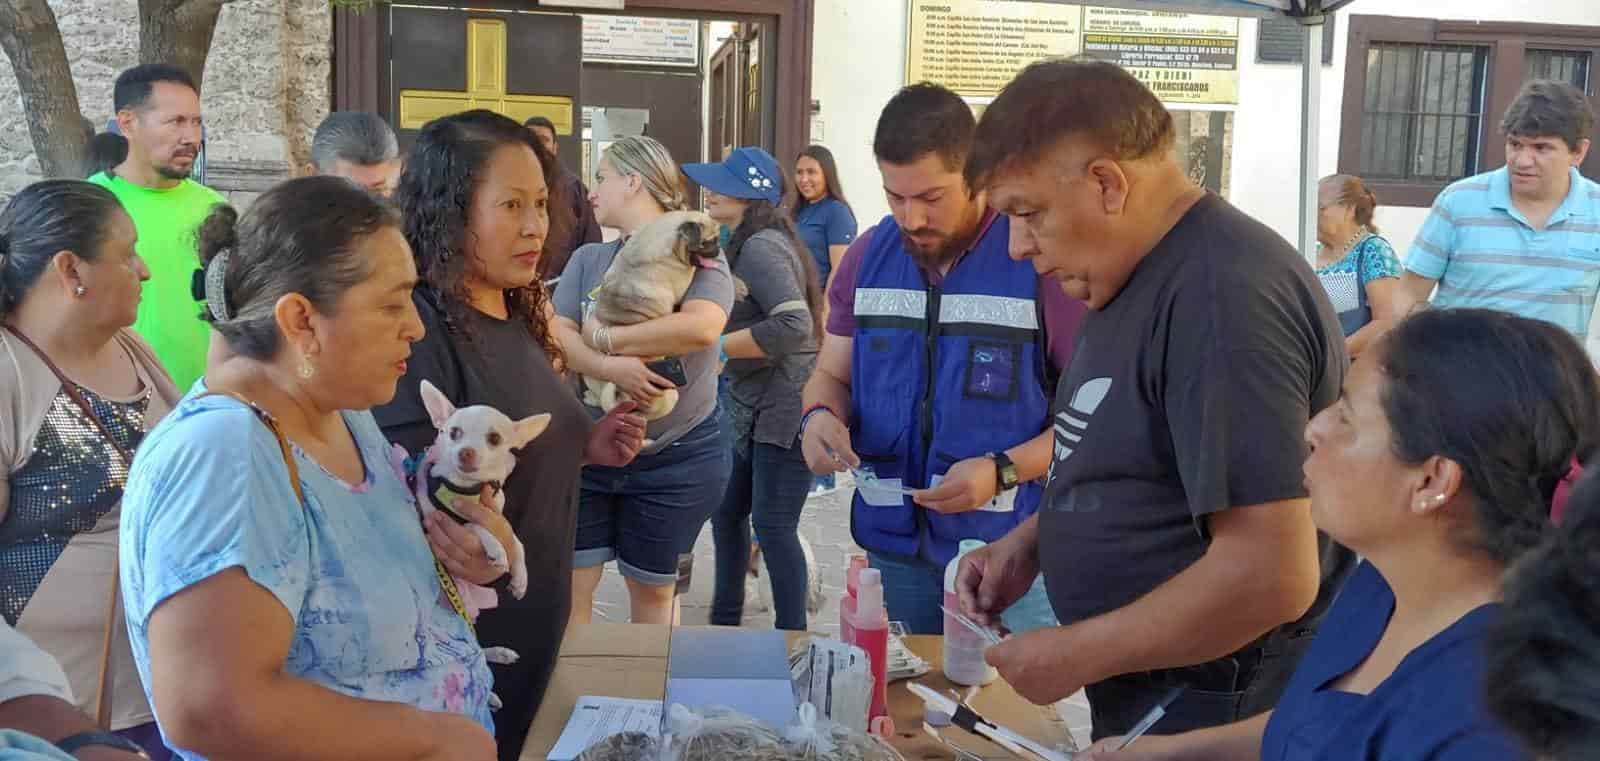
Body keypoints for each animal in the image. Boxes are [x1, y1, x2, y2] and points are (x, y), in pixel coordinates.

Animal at [585, 209, 723, 422]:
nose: (718, 248)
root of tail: (624, 398)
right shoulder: (683, 277)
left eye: (716, 240)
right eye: (707, 242)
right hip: (672, 395)